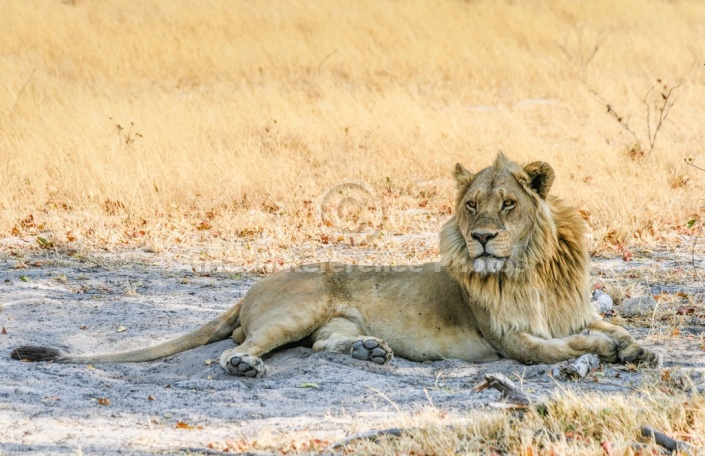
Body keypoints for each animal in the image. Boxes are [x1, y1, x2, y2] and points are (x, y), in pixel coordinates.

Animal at [11, 154, 660, 378]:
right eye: (472, 206)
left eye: (507, 205)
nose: (479, 238)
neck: (532, 269)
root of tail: (252, 286)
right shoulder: (511, 340)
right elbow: (568, 347)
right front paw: (613, 351)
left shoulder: (570, 313)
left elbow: (606, 325)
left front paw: (638, 347)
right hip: (296, 309)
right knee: (243, 346)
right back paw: (245, 365)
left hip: (326, 321)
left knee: (324, 345)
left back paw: (369, 351)